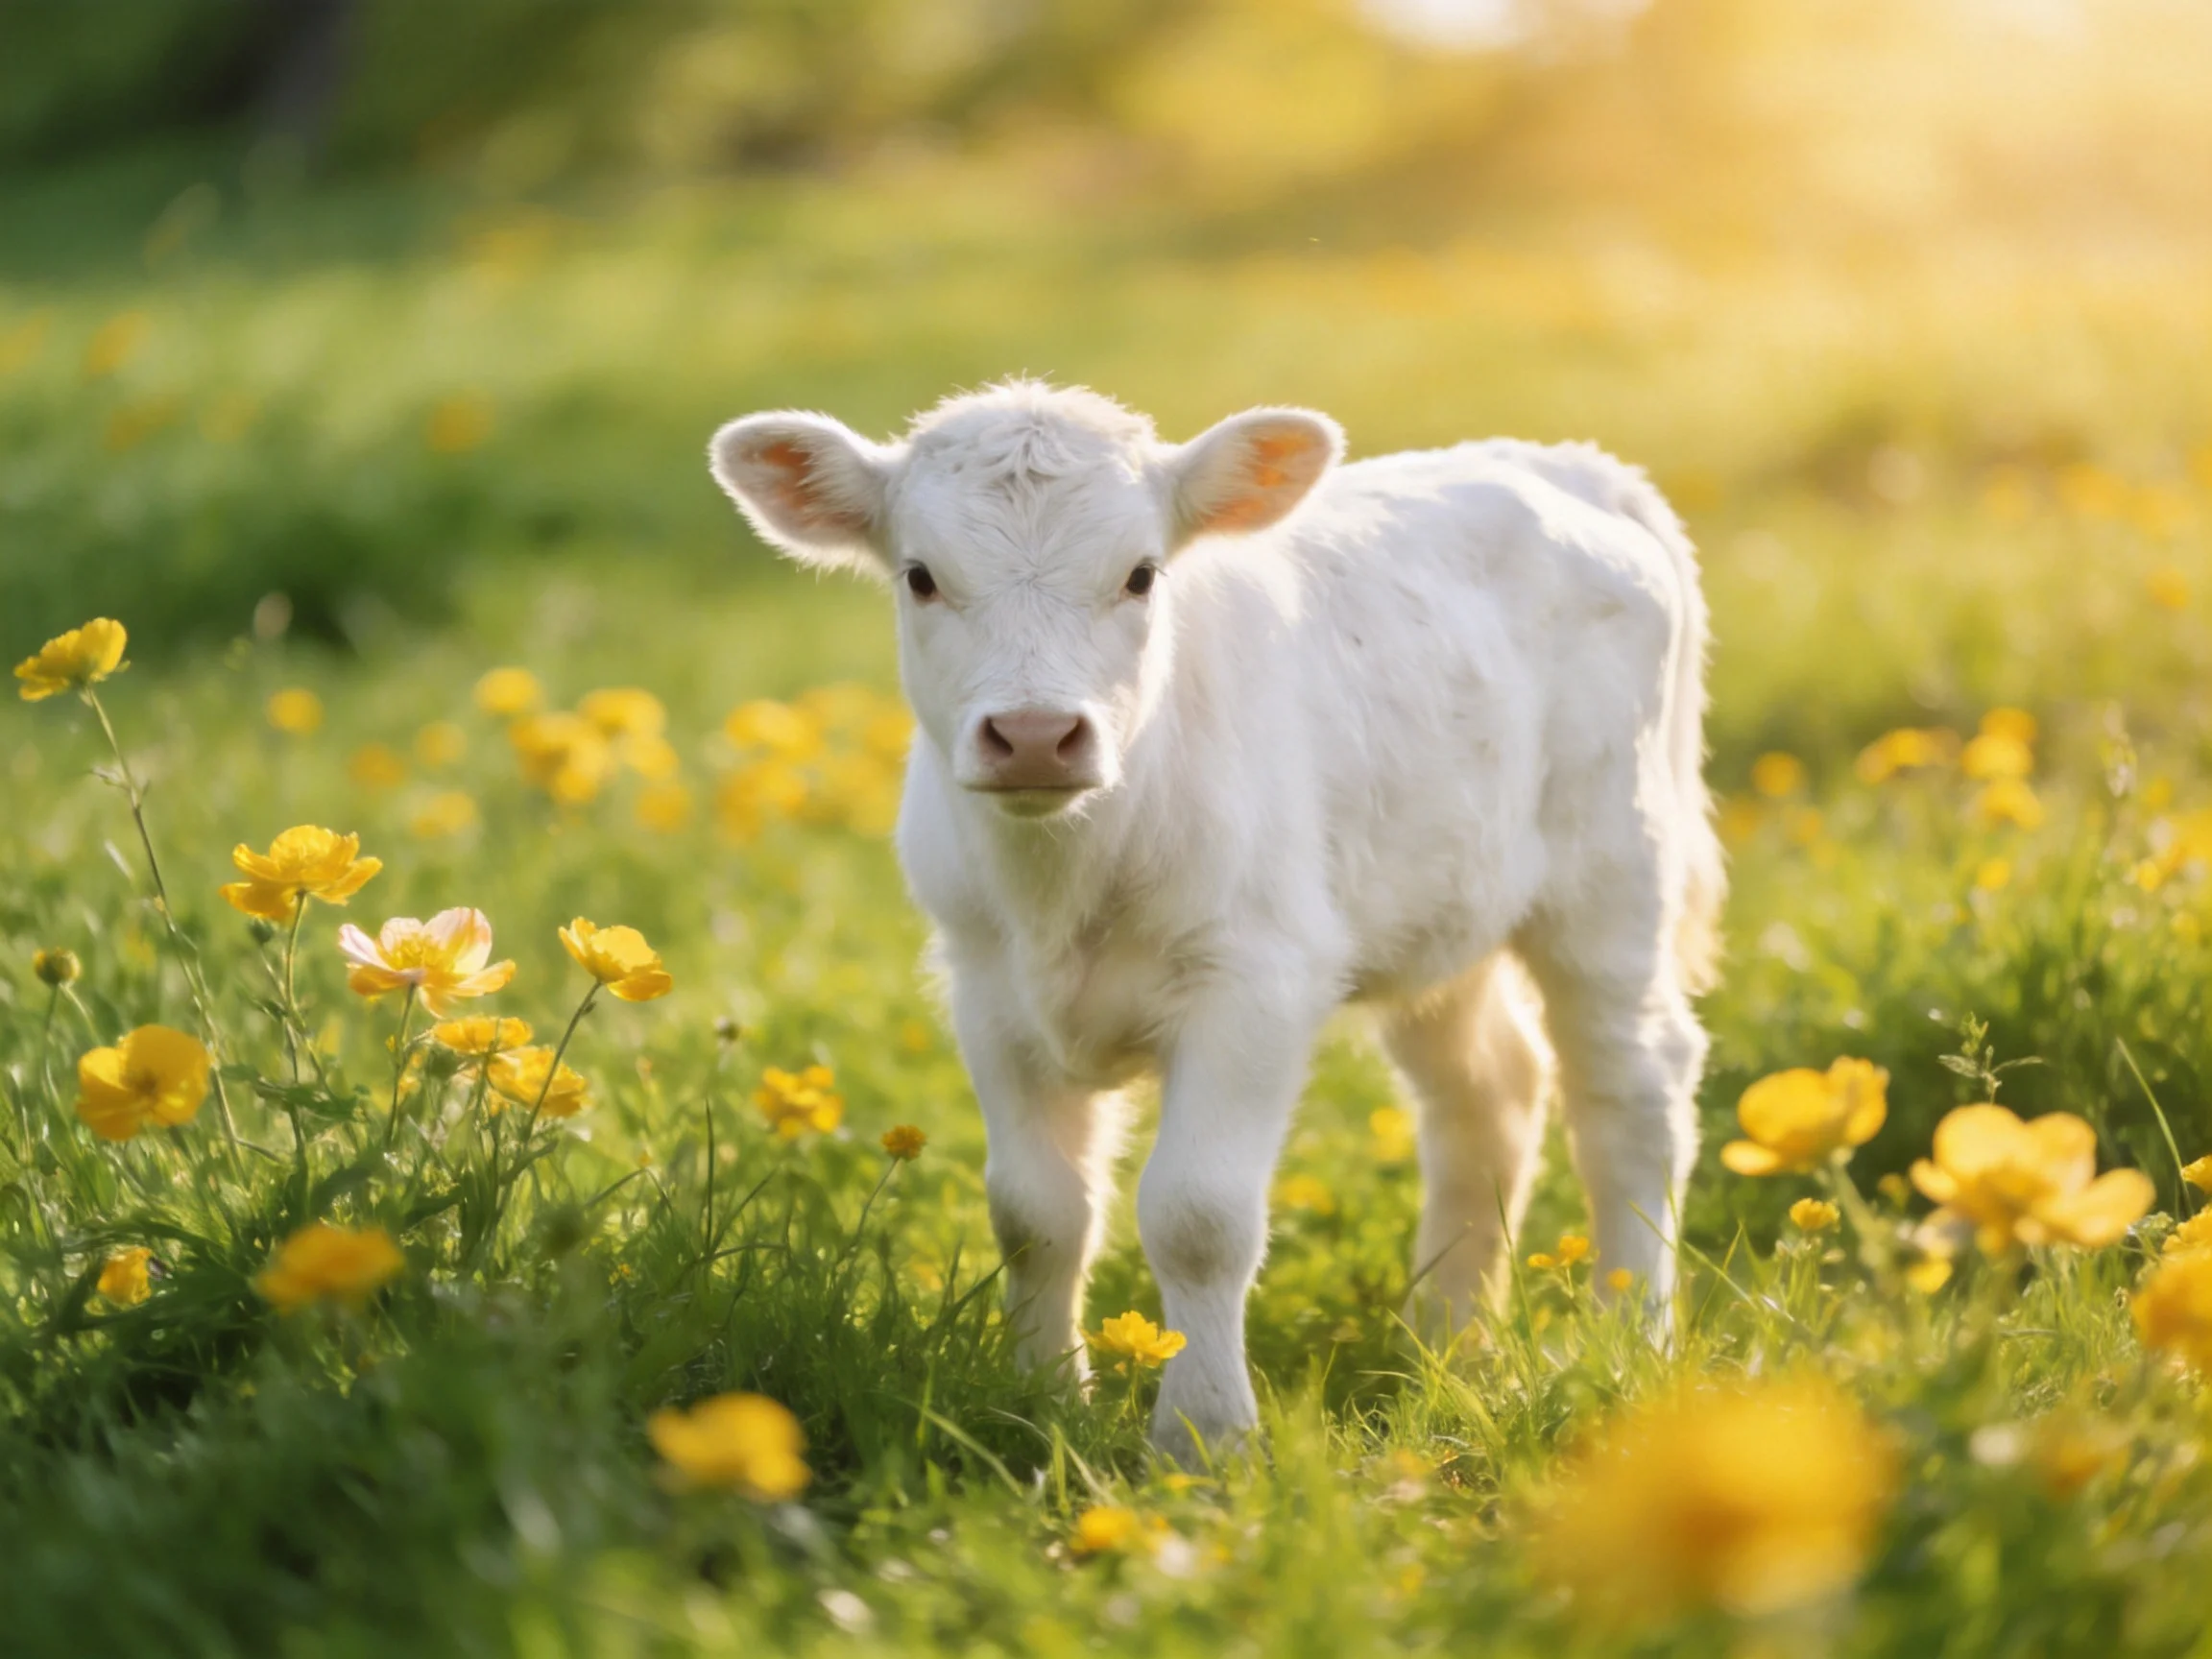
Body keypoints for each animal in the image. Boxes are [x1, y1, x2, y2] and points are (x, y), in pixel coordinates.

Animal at [708, 380, 1722, 1458]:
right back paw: (1443, 1344)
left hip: (1611, 878)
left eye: (1141, 574)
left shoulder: (1256, 980)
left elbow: (1198, 1216)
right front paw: (1042, 1400)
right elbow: (1035, 1212)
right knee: (1489, 1090)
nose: (1035, 734)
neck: (1067, 876)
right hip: (1434, 910)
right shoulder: (986, 988)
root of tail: (1563, 460)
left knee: (1632, 1088)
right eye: (920, 576)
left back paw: (1631, 1337)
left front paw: (1204, 1435)